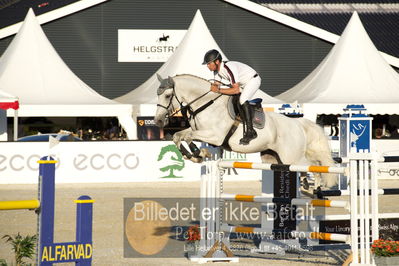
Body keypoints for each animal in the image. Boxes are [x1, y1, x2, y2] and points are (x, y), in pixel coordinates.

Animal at [155, 74, 340, 188]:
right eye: (157, 94)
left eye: (167, 96)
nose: (158, 121)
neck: (206, 103)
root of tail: (298, 123)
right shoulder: (199, 131)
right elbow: (178, 136)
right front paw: (193, 156)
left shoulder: (214, 136)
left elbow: (188, 137)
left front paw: (199, 153)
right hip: (273, 158)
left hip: (292, 157)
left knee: (313, 166)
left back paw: (314, 187)